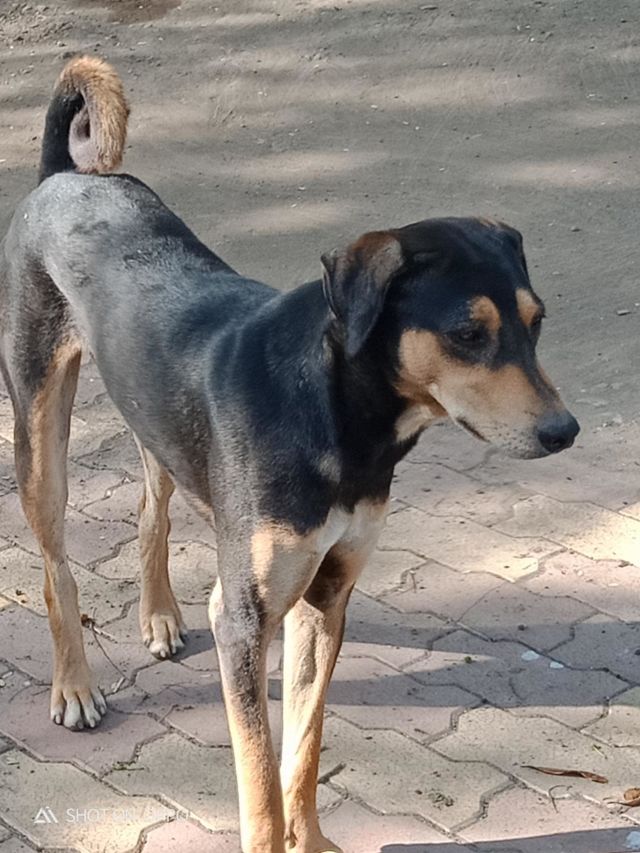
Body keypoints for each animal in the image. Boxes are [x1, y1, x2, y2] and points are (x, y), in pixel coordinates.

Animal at [0, 57, 579, 853]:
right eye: (468, 333)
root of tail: (65, 174)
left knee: (152, 509)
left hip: (153, 418)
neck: (336, 414)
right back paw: (75, 685)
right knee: (57, 566)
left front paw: (312, 836)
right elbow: (260, 779)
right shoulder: (245, 619)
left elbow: (303, 745)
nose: (565, 430)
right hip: (40, 428)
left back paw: (159, 615)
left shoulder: (326, 595)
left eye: (537, 321)